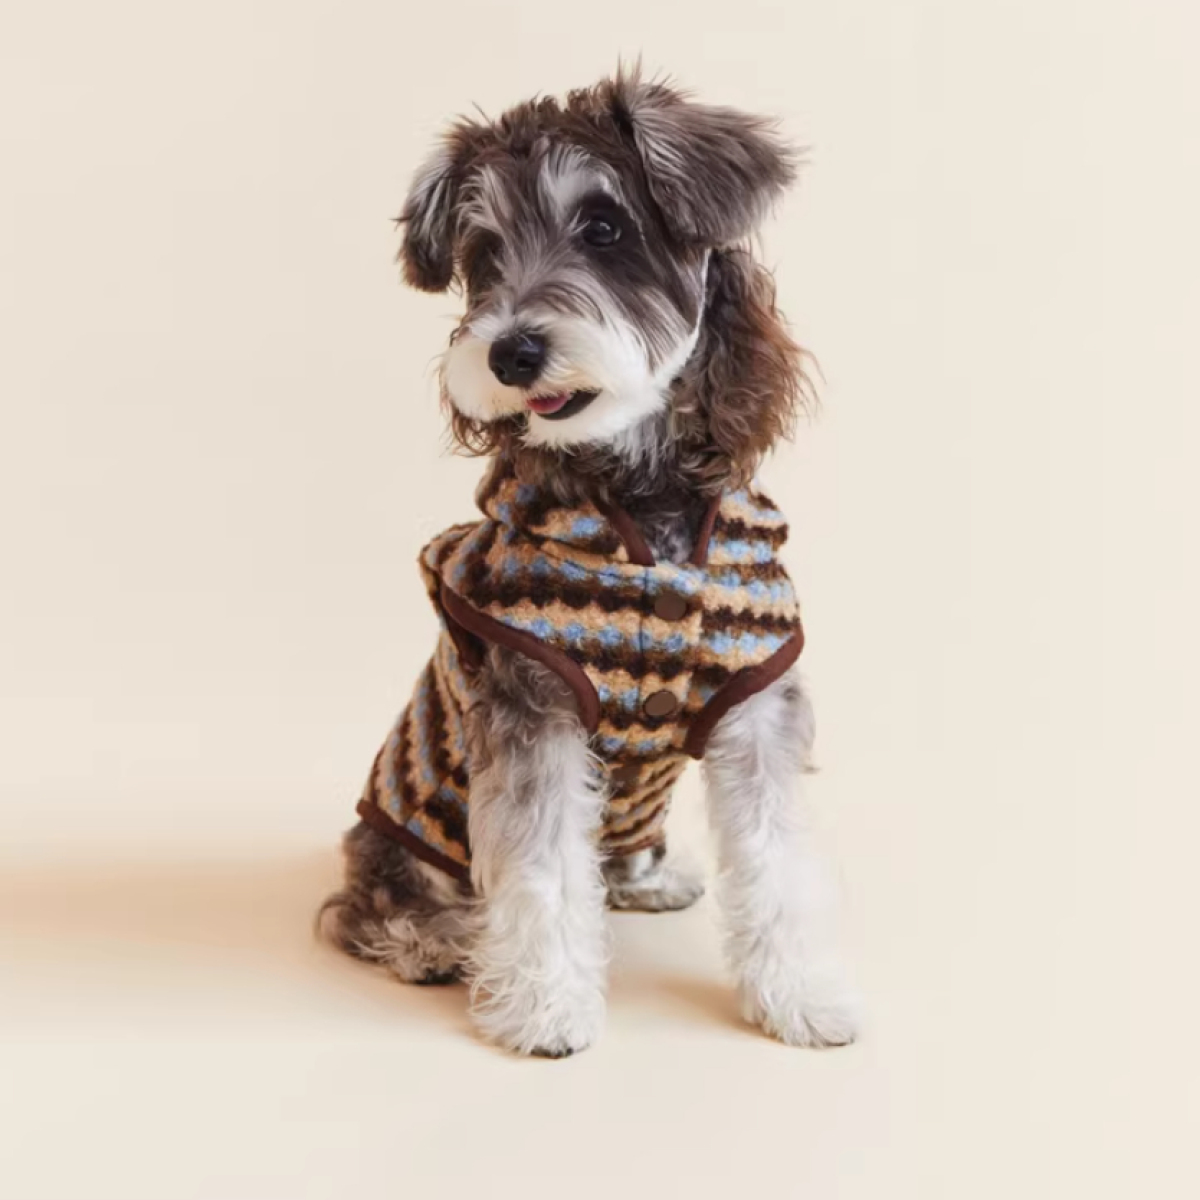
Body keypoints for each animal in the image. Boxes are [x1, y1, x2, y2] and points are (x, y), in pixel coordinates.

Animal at [319, 69, 860, 1057]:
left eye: (605, 228)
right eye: (483, 253)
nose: (510, 350)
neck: (640, 492)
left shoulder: (759, 705)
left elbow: (779, 858)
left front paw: (801, 997)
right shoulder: (531, 709)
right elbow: (539, 873)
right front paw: (544, 1009)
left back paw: (648, 879)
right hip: (397, 839)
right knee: (366, 903)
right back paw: (427, 940)